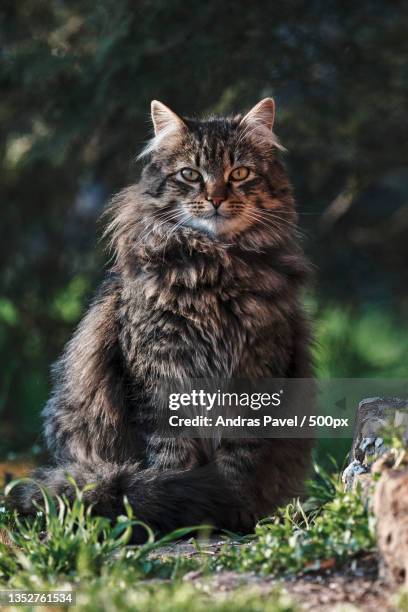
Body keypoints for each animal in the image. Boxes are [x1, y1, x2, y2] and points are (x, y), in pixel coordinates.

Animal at [11, 98, 314, 544]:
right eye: (190, 175)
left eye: (239, 174)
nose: (216, 198)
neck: (215, 269)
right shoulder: (159, 373)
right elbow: (172, 453)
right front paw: (184, 506)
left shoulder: (257, 369)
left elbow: (239, 455)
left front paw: (234, 509)